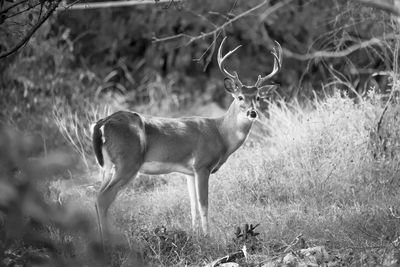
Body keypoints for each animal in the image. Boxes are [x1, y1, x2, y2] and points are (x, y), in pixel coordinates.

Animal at [92, 37, 282, 245]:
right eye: (240, 97)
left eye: (257, 97)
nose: (252, 113)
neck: (220, 133)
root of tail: (103, 123)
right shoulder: (202, 165)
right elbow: (204, 204)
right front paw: (207, 236)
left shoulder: (189, 172)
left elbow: (193, 207)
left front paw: (194, 234)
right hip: (128, 161)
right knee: (103, 199)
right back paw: (107, 242)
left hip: (107, 166)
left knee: (97, 197)